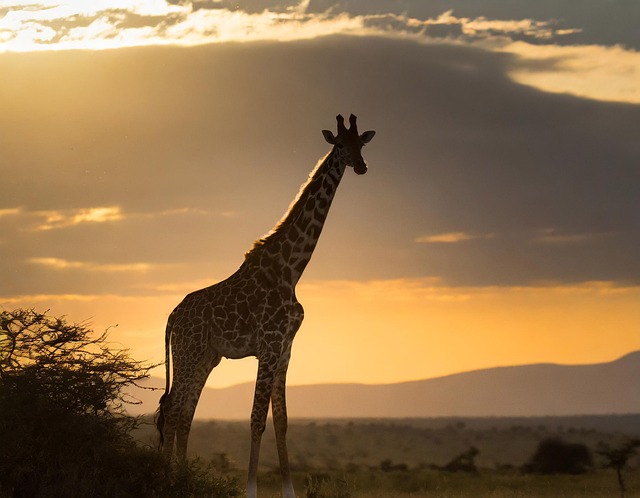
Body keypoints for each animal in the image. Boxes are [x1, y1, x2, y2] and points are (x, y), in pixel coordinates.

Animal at [156, 115, 376, 496]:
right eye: (340, 145)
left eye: (360, 143)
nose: (361, 166)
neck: (292, 269)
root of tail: (172, 316)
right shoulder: (269, 345)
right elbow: (257, 419)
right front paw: (251, 490)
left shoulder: (286, 348)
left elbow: (282, 422)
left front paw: (290, 490)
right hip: (188, 350)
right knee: (172, 408)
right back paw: (169, 479)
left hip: (206, 357)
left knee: (184, 413)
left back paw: (182, 476)